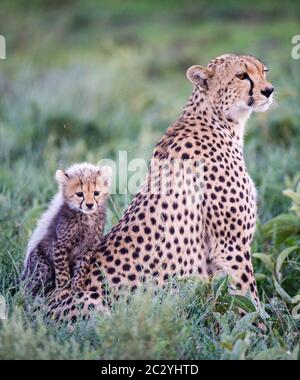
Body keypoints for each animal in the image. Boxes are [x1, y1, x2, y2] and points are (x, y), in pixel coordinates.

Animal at [45, 53, 274, 320]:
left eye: (264, 71)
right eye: (241, 75)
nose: (269, 90)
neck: (219, 120)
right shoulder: (230, 245)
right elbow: (250, 300)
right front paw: (267, 326)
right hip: (98, 304)